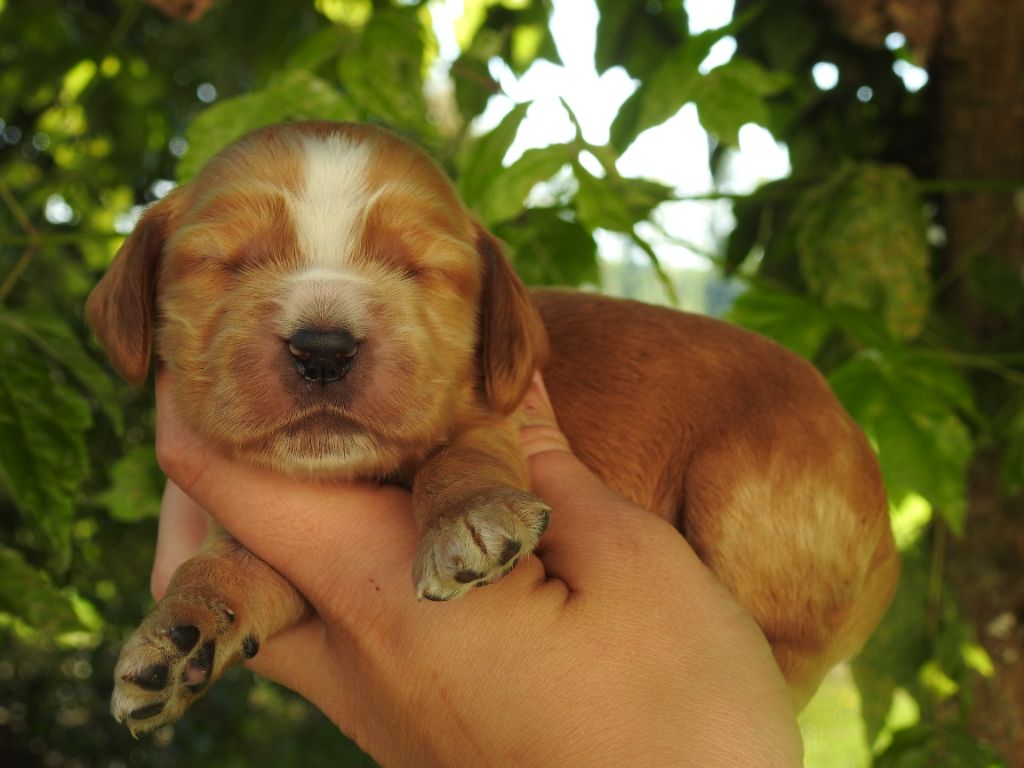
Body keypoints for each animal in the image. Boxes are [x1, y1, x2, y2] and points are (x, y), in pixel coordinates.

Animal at [88, 120, 897, 733]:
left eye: (417, 270)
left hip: (747, 484)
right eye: (227, 263)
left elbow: (460, 463)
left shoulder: (490, 423)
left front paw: (468, 522)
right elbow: (231, 566)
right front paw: (180, 629)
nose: (323, 349)